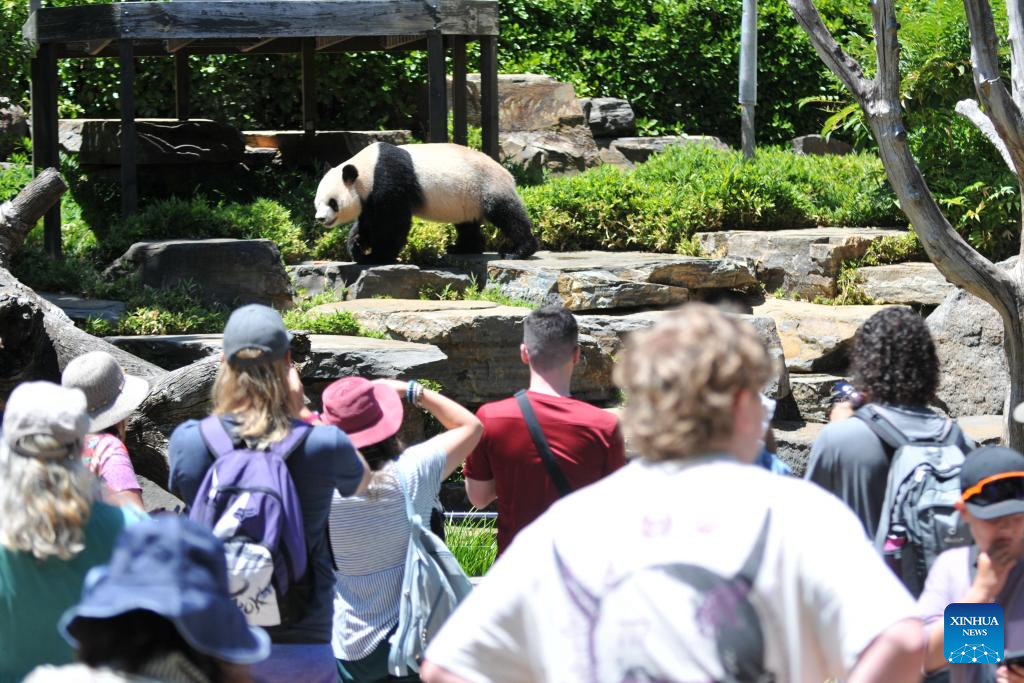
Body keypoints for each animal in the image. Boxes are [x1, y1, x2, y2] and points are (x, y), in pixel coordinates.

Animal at [313, 141, 540, 264]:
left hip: (486, 185)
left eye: (333, 202)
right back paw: (463, 248)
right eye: (317, 202)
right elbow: (367, 221)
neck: (366, 169)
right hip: (467, 198)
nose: (320, 219)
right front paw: (357, 247)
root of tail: (508, 173)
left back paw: (518, 251)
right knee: (467, 224)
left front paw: (377, 256)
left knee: (507, 214)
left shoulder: (389, 179)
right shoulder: (369, 196)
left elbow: (392, 222)